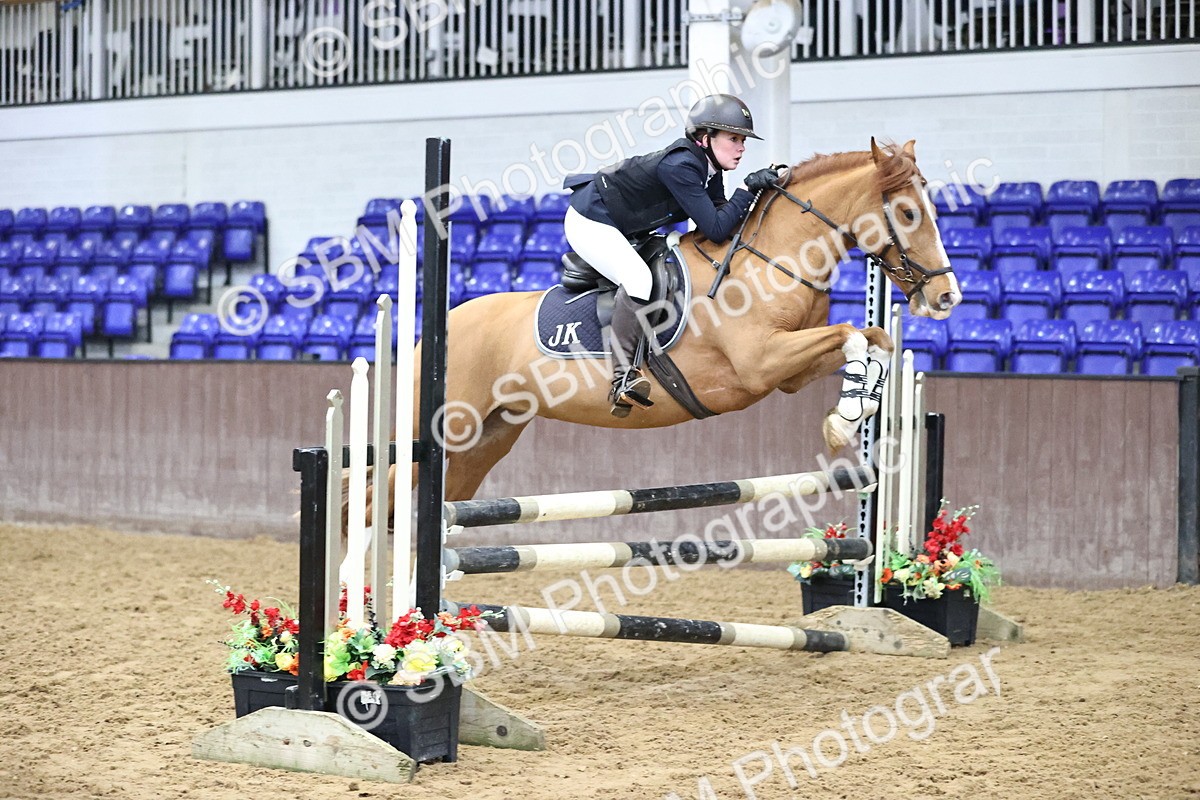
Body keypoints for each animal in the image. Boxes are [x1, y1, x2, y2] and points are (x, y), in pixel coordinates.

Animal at [364, 138, 961, 523]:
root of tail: (439, 328)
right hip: (441, 431)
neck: (772, 261)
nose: (947, 296)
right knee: (371, 500)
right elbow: (853, 335)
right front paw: (845, 419)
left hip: (485, 440)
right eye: (909, 213)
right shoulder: (760, 363)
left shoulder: (787, 371)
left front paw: (857, 405)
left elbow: (874, 340)